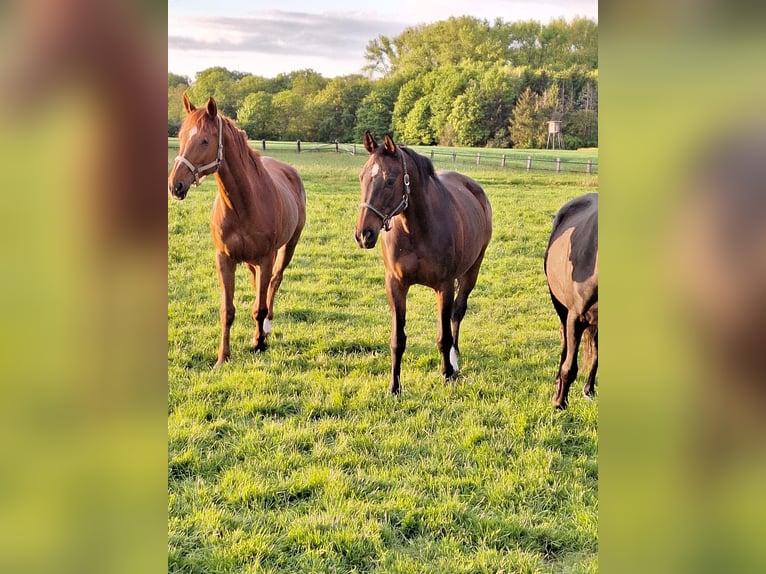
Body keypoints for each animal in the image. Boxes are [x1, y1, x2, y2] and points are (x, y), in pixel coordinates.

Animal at [168, 94, 306, 366]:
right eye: (180, 136)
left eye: (205, 140)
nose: (175, 185)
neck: (243, 204)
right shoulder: (224, 259)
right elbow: (228, 310)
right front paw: (223, 357)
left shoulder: (266, 258)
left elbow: (261, 306)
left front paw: (260, 344)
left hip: (288, 247)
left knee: (274, 284)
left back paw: (266, 330)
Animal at [355, 131, 492, 394]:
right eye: (362, 177)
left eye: (390, 180)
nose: (363, 235)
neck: (416, 230)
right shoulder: (395, 285)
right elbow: (397, 340)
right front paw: (394, 387)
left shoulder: (445, 286)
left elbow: (444, 335)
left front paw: (447, 373)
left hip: (472, 270)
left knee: (458, 313)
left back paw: (455, 360)